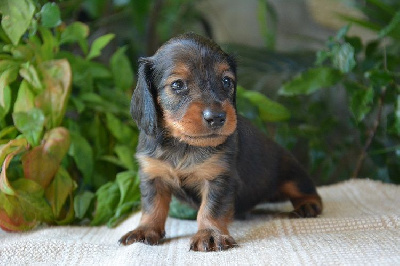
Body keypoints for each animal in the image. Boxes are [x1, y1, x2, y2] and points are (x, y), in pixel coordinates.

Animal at [119, 33, 322, 251]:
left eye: (226, 81)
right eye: (177, 85)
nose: (216, 117)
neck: (183, 145)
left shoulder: (218, 177)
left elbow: (211, 208)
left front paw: (209, 233)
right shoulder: (152, 175)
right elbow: (152, 206)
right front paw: (145, 230)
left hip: (290, 171)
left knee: (307, 191)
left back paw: (308, 205)